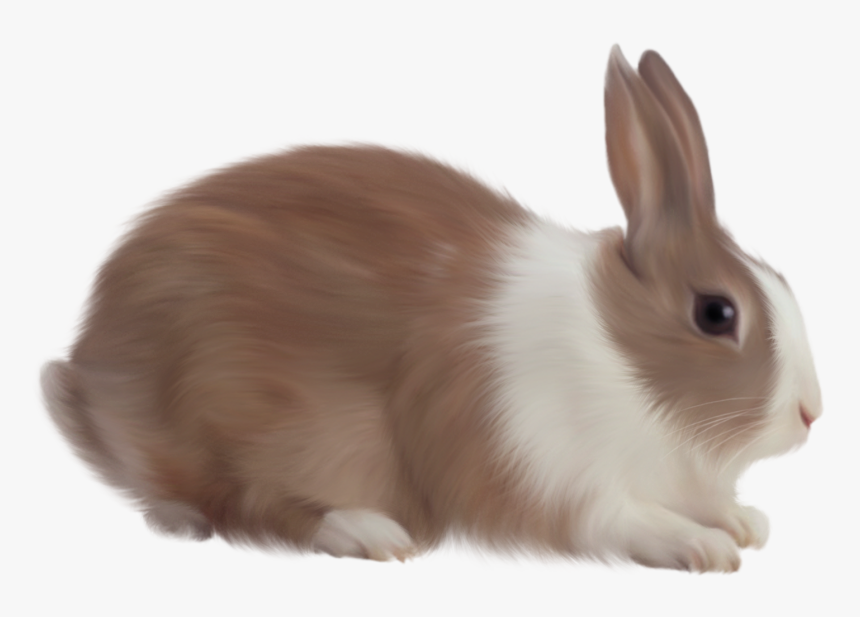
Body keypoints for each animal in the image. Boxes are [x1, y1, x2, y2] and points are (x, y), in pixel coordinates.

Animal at [41, 45, 822, 572]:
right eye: (716, 314)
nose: (811, 413)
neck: (619, 353)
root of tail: (90, 376)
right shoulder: (546, 475)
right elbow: (621, 518)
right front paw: (704, 545)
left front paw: (746, 521)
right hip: (251, 409)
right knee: (248, 504)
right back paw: (365, 532)